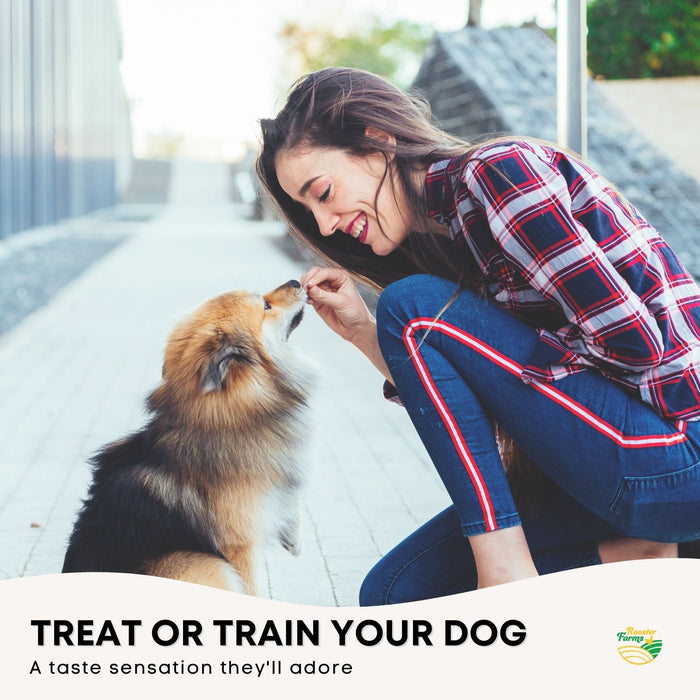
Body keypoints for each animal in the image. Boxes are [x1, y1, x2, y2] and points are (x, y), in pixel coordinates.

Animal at [63, 280, 314, 596]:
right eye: (265, 305)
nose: (296, 281)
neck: (225, 419)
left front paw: (294, 536)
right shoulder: (242, 546)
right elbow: (253, 588)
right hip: (204, 562)